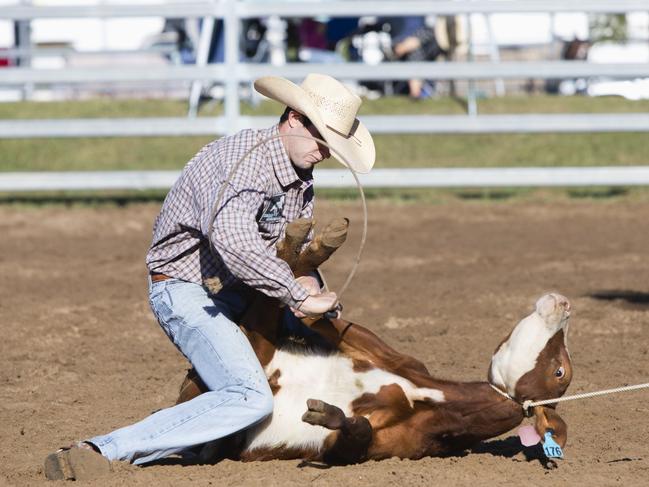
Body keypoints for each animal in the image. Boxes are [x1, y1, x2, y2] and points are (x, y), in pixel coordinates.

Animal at [178, 220, 572, 466]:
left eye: (559, 371)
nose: (565, 303)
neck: (429, 399)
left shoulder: (378, 447)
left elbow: (356, 434)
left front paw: (331, 414)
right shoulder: (392, 356)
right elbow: (325, 322)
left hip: (253, 347)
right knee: (273, 285)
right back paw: (306, 246)